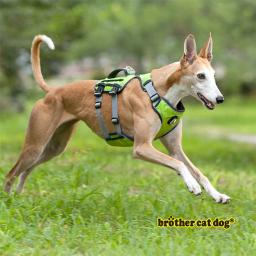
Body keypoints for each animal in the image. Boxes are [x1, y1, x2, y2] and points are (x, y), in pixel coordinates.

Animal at [4, 33, 230, 204]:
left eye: (213, 75)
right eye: (200, 76)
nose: (220, 99)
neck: (158, 91)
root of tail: (52, 91)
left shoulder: (175, 149)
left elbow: (198, 171)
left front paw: (217, 194)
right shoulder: (141, 147)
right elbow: (180, 166)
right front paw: (191, 184)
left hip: (53, 147)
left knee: (25, 170)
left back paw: (18, 195)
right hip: (35, 145)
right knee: (11, 173)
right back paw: (8, 202)